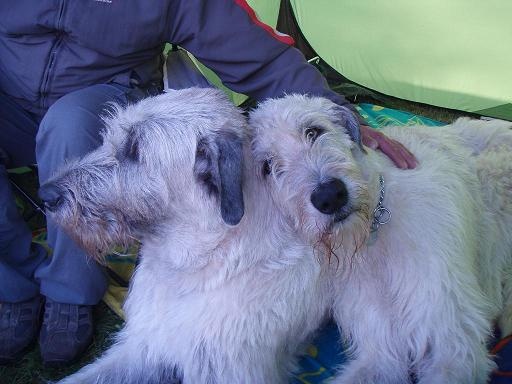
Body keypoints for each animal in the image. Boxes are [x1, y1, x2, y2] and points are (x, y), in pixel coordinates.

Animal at [251, 94, 512, 384]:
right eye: (267, 167)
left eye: (313, 131)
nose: (329, 196)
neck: (372, 232)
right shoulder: (381, 348)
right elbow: (384, 361)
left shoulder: (451, 341)